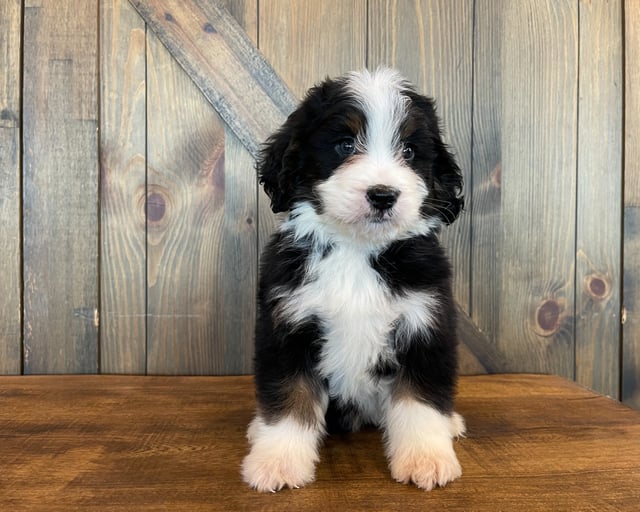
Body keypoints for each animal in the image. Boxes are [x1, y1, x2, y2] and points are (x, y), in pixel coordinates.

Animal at [242, 68, 462, 492]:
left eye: (408, 151)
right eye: (345, 145)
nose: (383, 195)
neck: (357, 250)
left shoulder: (424, 323)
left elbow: (420, 399)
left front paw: (426, 458)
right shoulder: (288, 326)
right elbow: (291, 398)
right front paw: (278, 462)